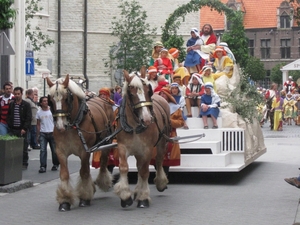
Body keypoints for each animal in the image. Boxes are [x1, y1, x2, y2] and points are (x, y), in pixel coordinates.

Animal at [46, 75, 114, 211]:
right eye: (50, 100)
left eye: (67, 98)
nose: (60, 126)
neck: (73, 125)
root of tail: (103, 100)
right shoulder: (60, 152)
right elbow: (65, 174)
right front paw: (65, 200)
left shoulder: (84, 151)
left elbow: (84, 172)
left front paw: (84, 197)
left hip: (106, 143)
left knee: (103, 163)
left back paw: (103, 181)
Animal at [113, 67, 171, 208]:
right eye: (131, 94)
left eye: (148, 91)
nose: (147, 119)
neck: (134, 127)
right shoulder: (122, 147)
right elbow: (124, 167)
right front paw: (125, 195)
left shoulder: (147, 149)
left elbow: (144, 171)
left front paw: (143, 197)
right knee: (139, 166)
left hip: (161, 142)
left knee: (158, 161)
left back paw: (160, 183)